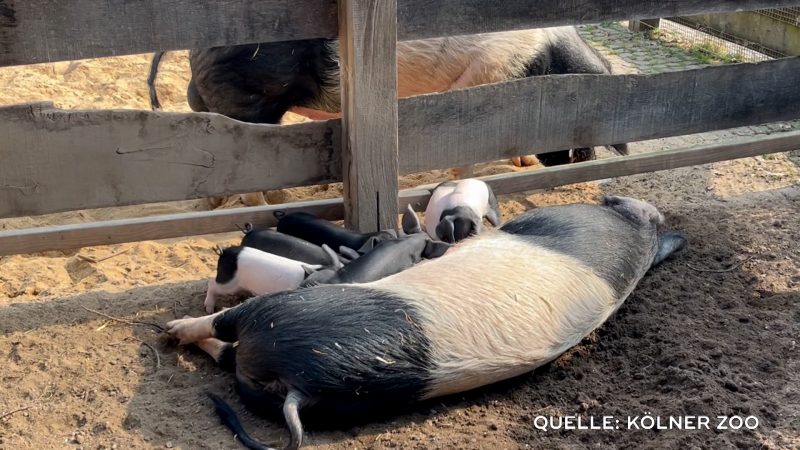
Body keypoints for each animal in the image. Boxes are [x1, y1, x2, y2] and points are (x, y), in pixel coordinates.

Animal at [167, 196, 680, 450]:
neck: (636, 233)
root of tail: (301, 387)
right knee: (225, 351)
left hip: (278, 314)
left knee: (220, 326)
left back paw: (170, 329)